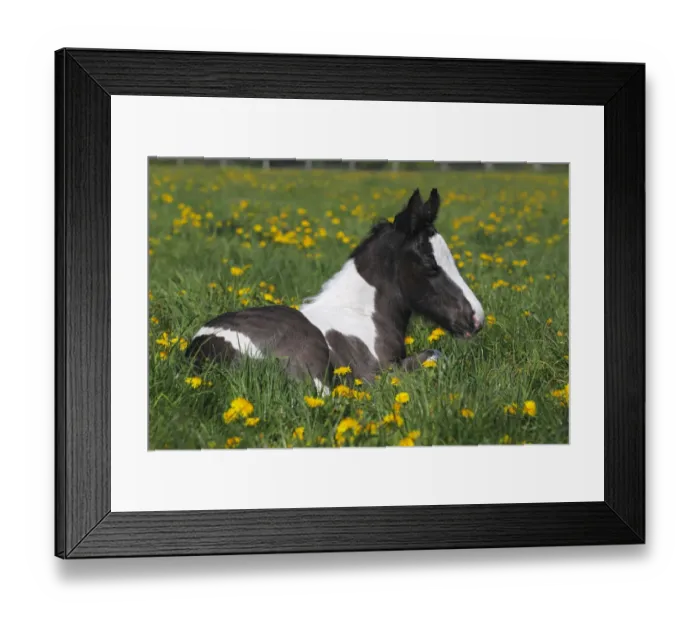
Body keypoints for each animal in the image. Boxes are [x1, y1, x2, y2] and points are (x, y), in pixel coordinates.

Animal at [186, 188, 485, 394]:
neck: (362, 314)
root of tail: (204, 349)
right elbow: (433, 356)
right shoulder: (375, 374)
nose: (476, 318)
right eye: (430, 264)